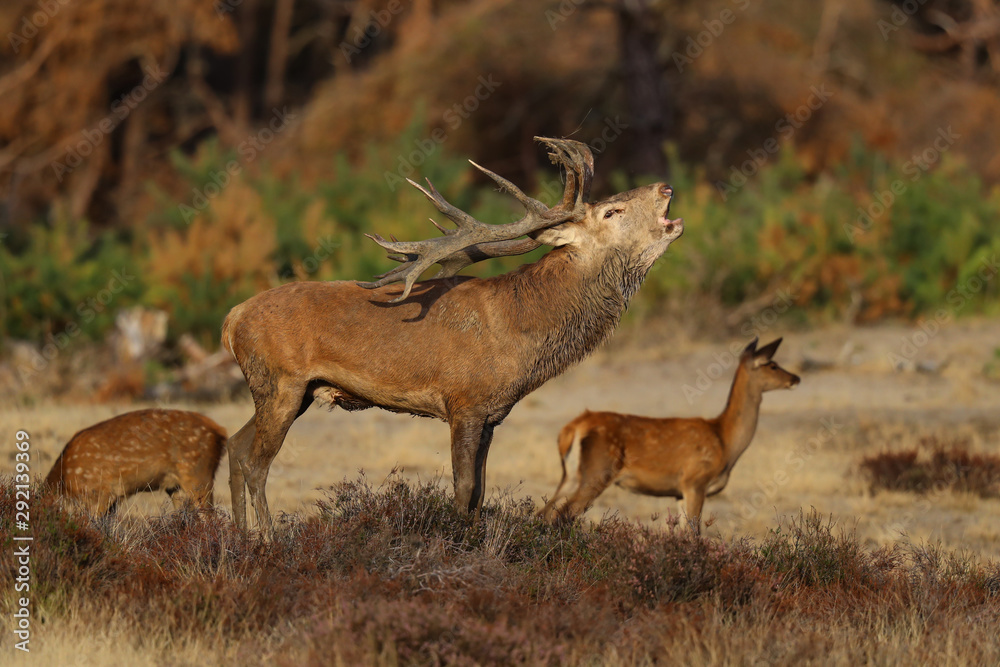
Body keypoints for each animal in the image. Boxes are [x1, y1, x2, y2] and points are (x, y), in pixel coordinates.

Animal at [221, 136, 684, 534]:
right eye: (611, 212)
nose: (665, 187)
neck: (521, 335)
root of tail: (231, 318)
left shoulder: (493, 414)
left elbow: (480, 491)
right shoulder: (463, 402)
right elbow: (463, 489)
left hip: (287, 390)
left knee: (235, 444)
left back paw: (240, 536)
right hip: (281, 382)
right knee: (258, 463)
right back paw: (267, 539)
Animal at [538, 337, 800, 533]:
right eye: (772, 364)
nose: (796, 378)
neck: (724, 440)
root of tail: (572, 428)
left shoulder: (679, 493)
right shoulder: (694, 480)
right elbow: (694, 533)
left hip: (570, 475)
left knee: (544, 512)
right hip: (598, 470)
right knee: (563, 515)